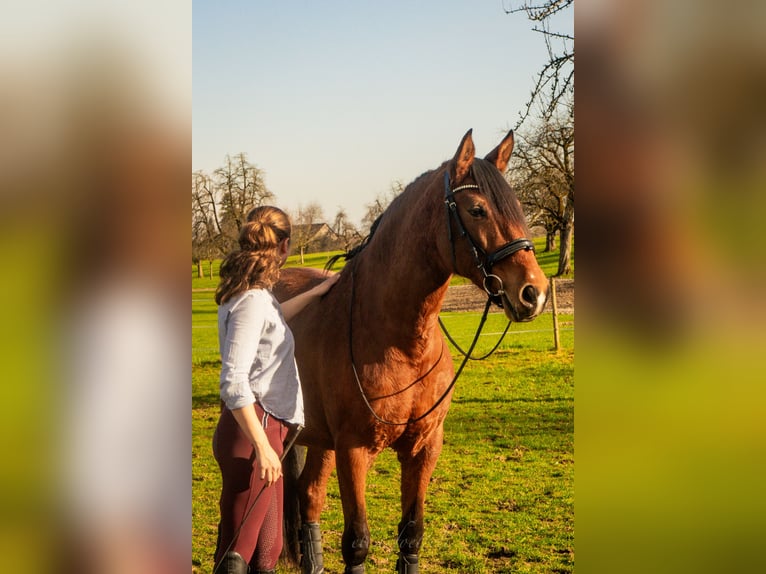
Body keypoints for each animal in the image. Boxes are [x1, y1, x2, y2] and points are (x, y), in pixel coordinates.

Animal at [273, 129, 549, 573]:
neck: (400, 343)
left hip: (317, 438)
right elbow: (357, 543)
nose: (534, 292)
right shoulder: (353, 450)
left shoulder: (424, 448)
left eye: (519, 208)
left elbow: (412, 534)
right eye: (477, 209)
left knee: (308, 495)